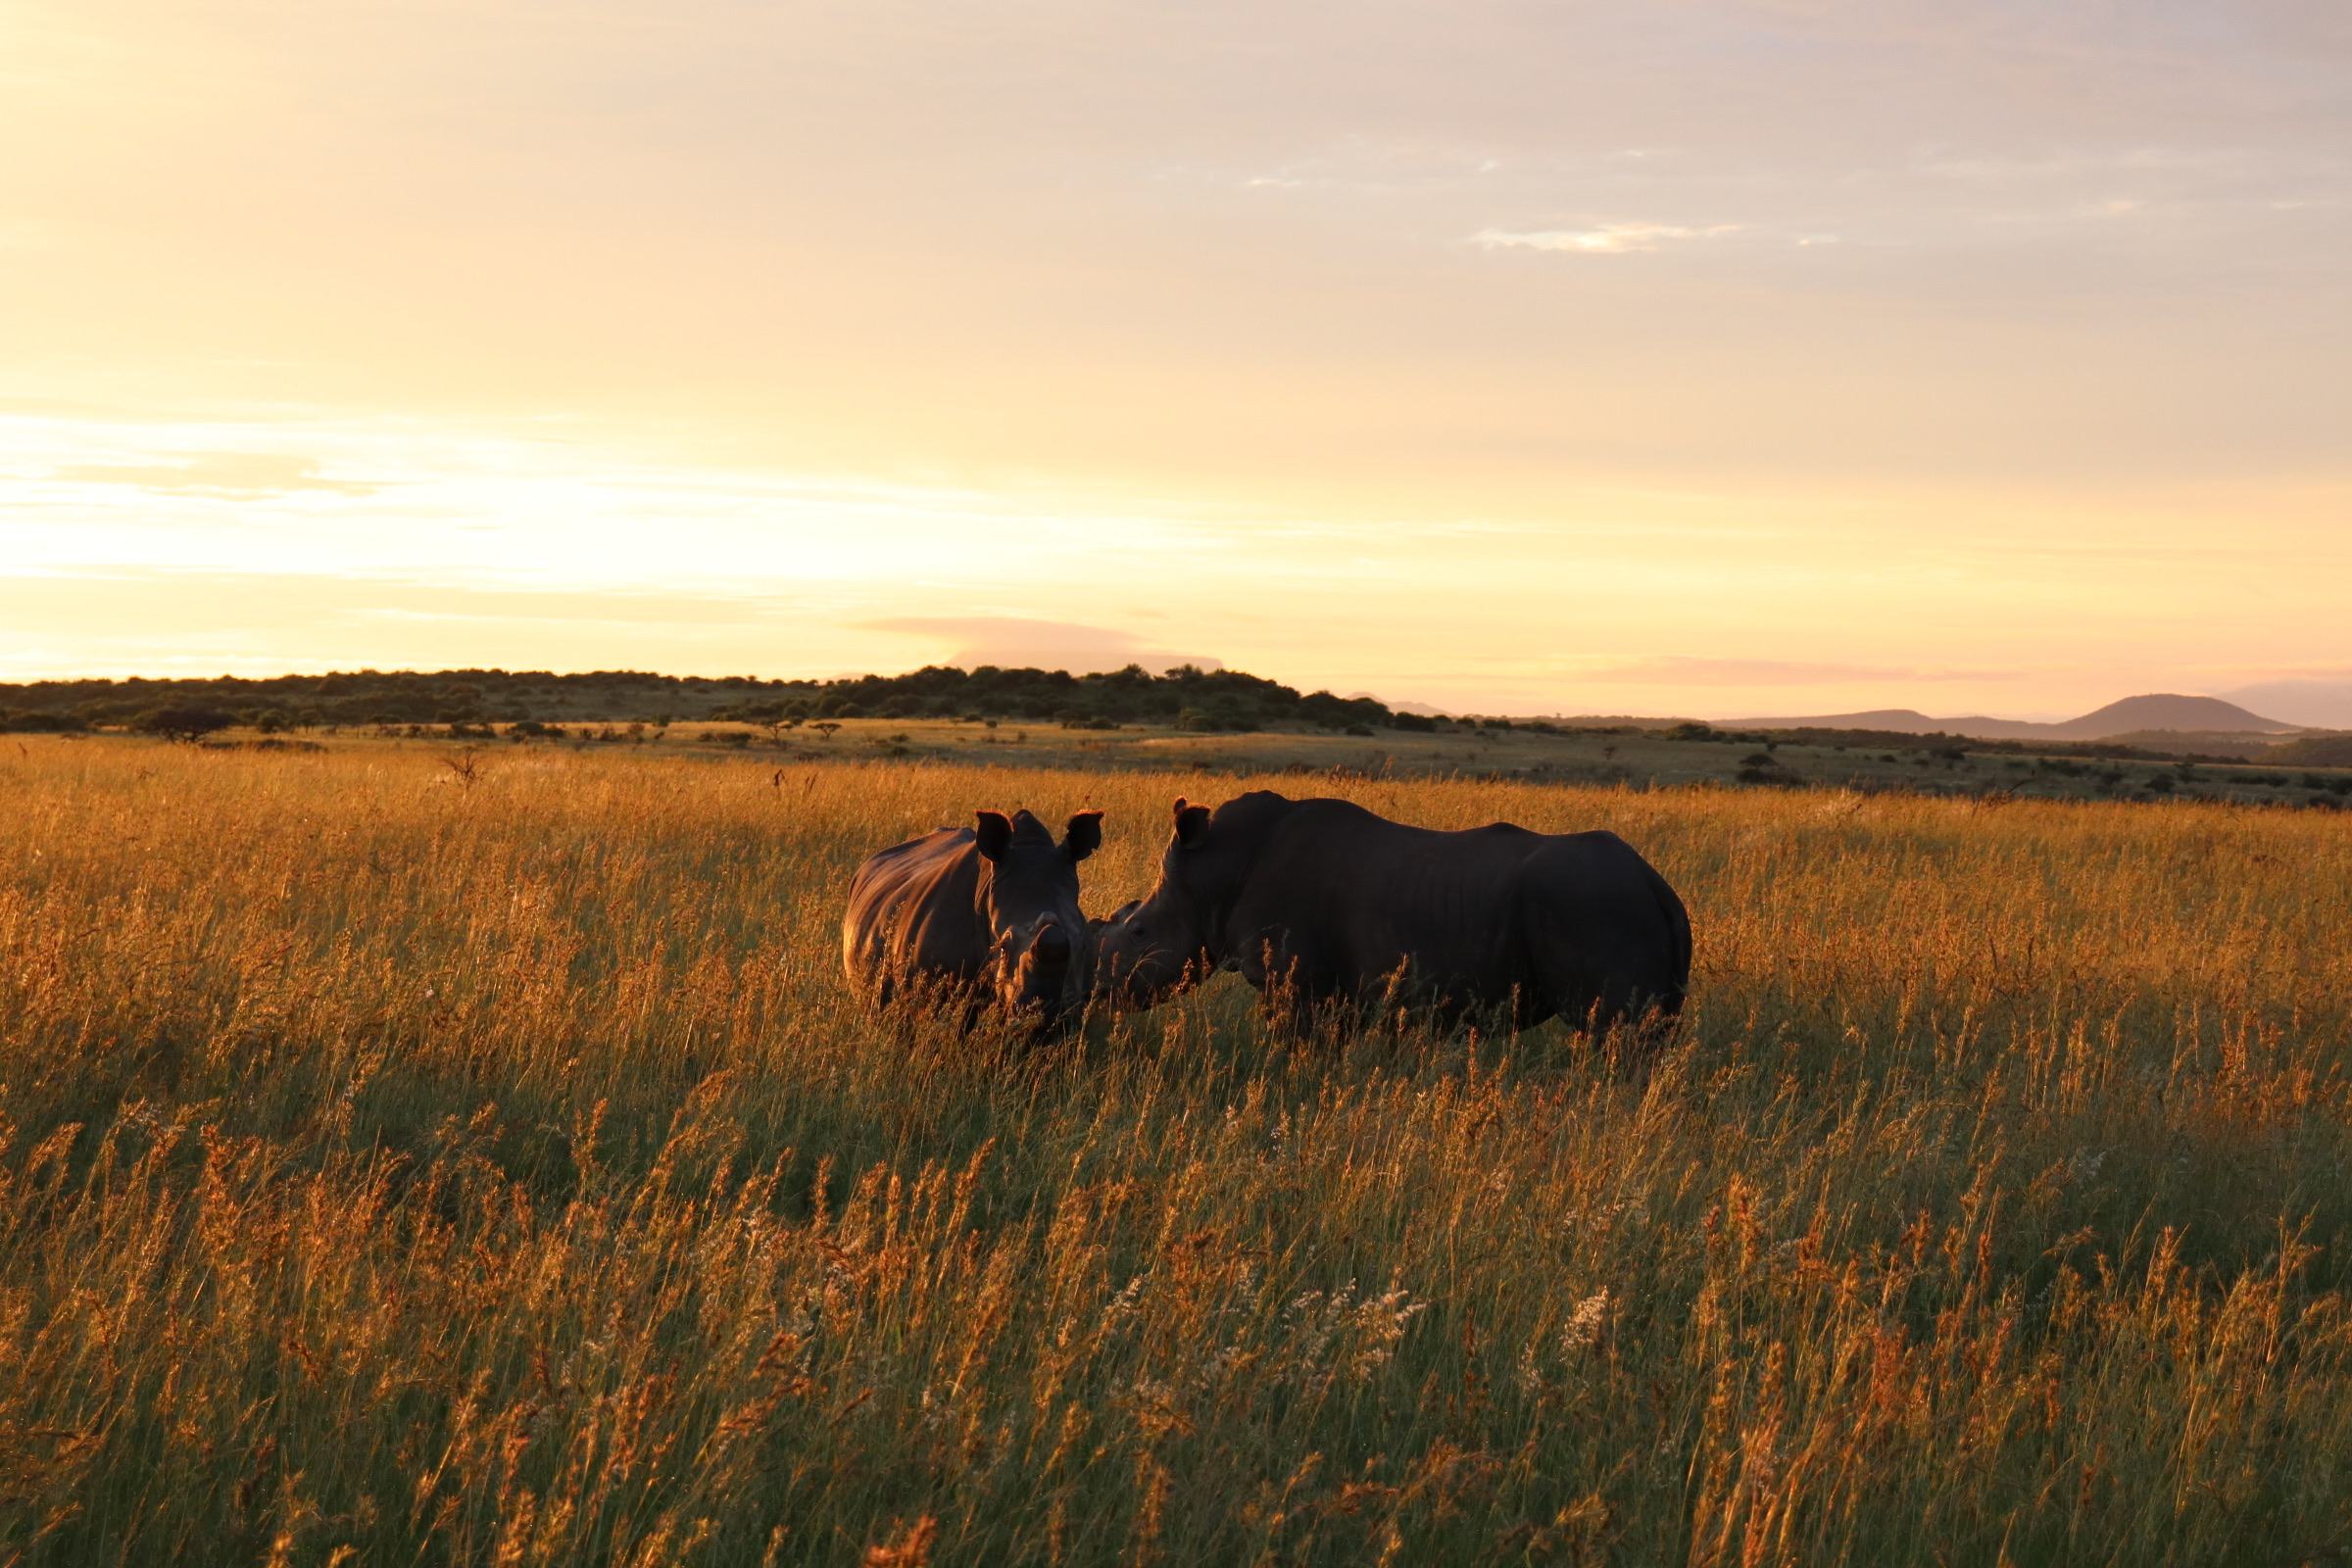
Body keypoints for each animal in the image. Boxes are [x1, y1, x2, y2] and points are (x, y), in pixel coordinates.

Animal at [1095, 791, 1689, 1037]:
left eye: (1138, 931)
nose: (1097, 991)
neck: (1214, 874)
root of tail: (1657, 885)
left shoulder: (1294, 982)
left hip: (1597, 905)